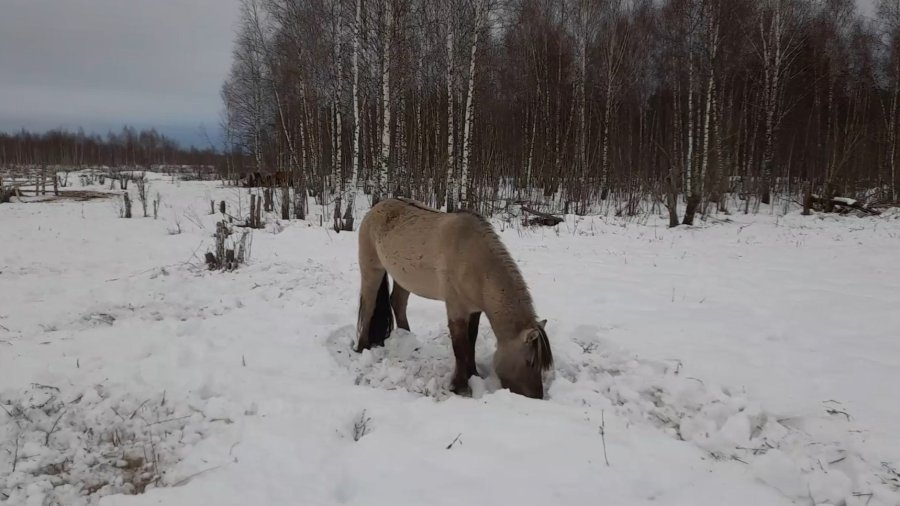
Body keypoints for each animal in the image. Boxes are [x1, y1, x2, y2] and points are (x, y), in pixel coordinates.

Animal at [354, 197, 553, 399]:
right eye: (530, 362)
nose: (537, 396)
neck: (475, 261)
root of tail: (375, 208)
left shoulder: (474, 310)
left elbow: (471, 342)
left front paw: (473, 374)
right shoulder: (456, 307)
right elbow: (460, 347)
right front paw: (459, 386)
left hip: (403, 278)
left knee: (398, 303)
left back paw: (409, 342)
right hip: (372, 269)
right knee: (369, 306)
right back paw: (362, 347)